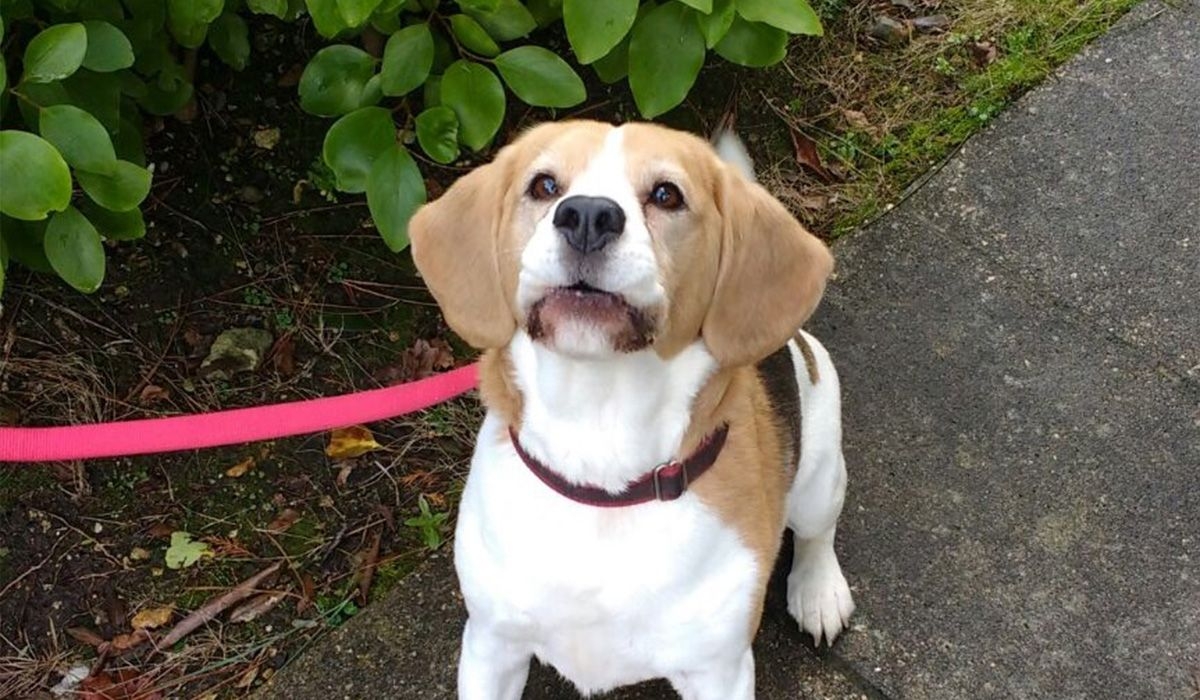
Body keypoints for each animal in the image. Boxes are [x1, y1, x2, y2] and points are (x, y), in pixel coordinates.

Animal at [412, 123, 854, 696]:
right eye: (544, 185)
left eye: (667, 195)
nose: (587, 216)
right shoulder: (491, 646)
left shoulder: (719, 671)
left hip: (819, 476)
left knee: (817, 534)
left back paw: (819, 591)